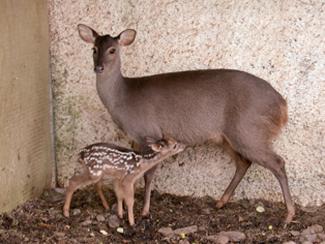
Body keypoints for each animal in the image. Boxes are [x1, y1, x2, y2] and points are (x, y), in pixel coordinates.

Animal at [77, 23, 294, 223]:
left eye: (112, 50)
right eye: (94, 49)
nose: (98, 67)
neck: (123, 99)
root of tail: (282, 105)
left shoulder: (149, 132)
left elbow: (148, 174)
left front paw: (145, 211)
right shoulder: (137, 139)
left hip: (249, 130)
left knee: (277, 162)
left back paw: (288, 215)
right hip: (228, 136)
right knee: (244, 162)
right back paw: (220, 202)